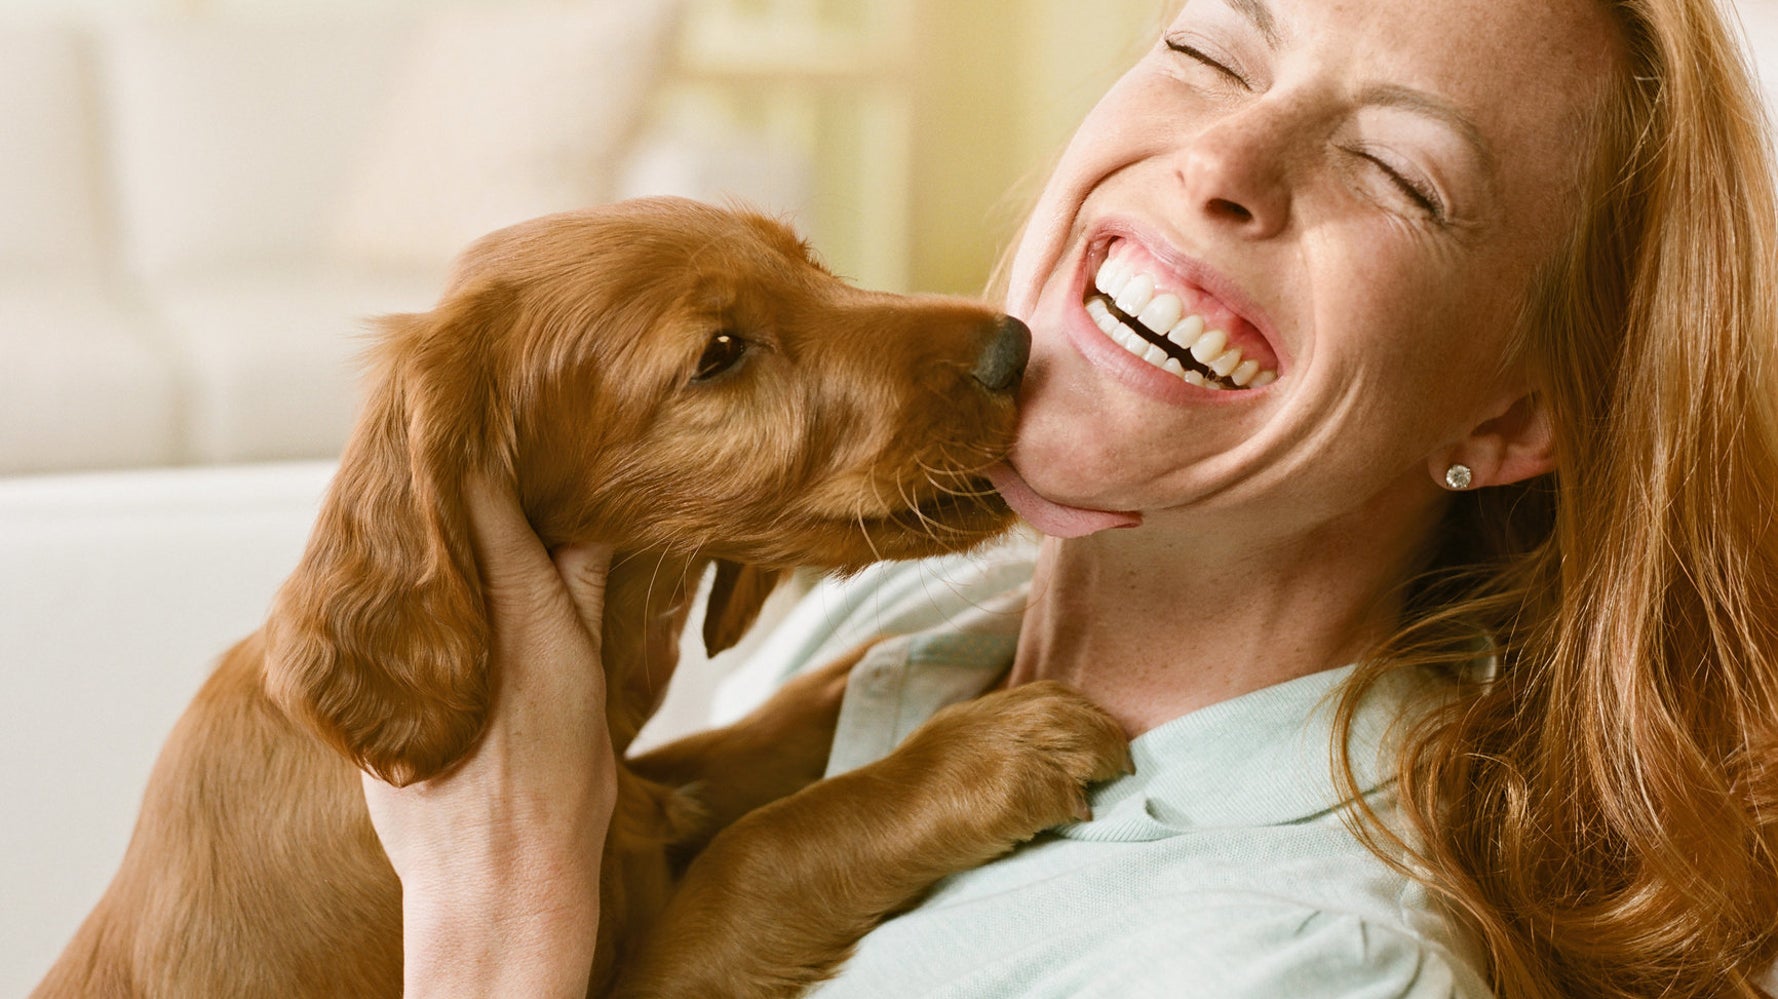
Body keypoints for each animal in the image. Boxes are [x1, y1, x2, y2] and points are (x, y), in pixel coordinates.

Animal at [38, 196, 1123, 995]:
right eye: (718, 352)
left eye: (807, 265)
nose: (1015, 347)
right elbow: (759, 851)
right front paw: (985, 754)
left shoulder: (642, 788)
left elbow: (766, 729)